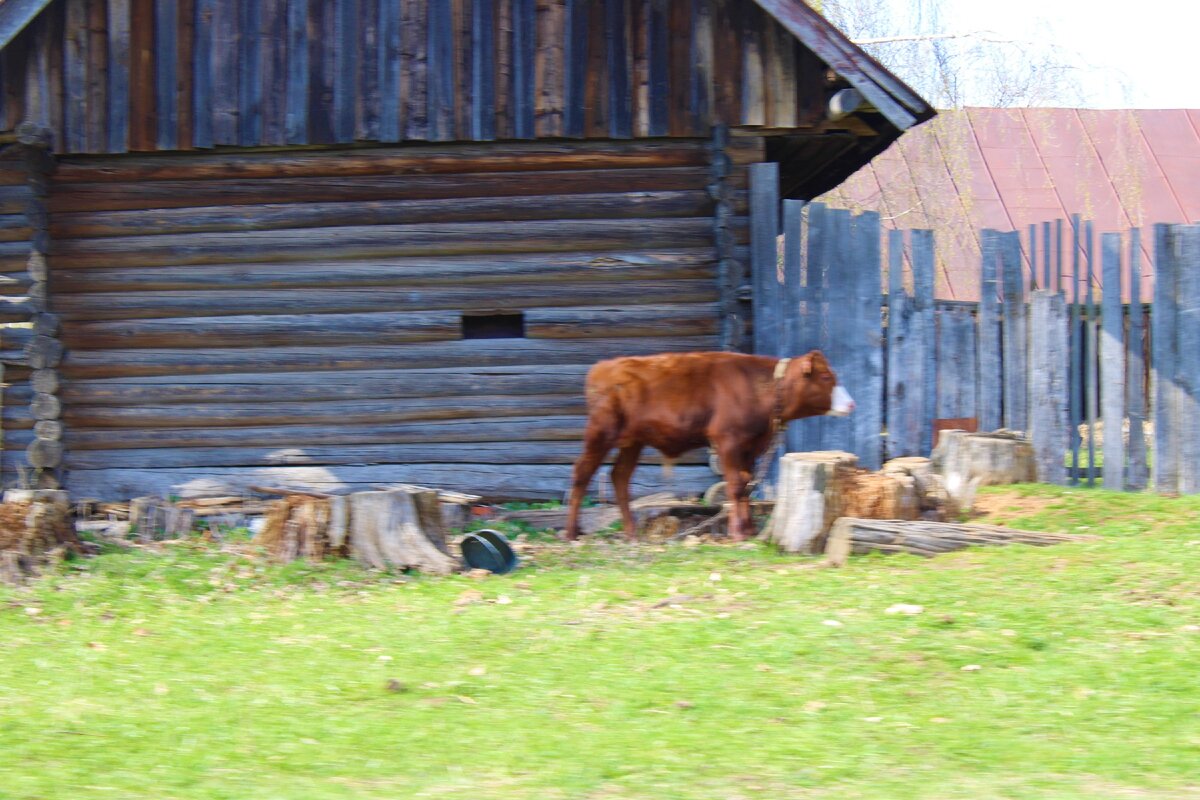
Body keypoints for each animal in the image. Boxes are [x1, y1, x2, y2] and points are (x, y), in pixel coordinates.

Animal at [564, 347, 854, 542]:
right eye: (826, 377)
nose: (851, 404)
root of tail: (603, 366)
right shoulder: (727, 438)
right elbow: (736, 485)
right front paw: (738, 533)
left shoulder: (750, 445)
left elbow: (746, 484)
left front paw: (748, 529)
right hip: (600, 431)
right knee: (582, 472)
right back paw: (571, 532)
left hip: (633, 441)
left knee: (620, 476)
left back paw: (631, 532)